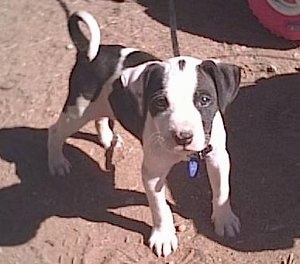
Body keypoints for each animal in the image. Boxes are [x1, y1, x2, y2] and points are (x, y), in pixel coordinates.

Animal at [48, 11, 241, 256]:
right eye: (160, 102)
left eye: (205, 100)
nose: (183, 137)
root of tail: (88, 52)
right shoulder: (153, 173)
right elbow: (160, 207)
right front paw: (164, 236)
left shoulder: (218, 158)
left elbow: (222, 190)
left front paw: (225, 219)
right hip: (78, 109)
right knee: (55, 132)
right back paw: (57, 162)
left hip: (99, 105)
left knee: (100, 117)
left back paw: (107, 139)